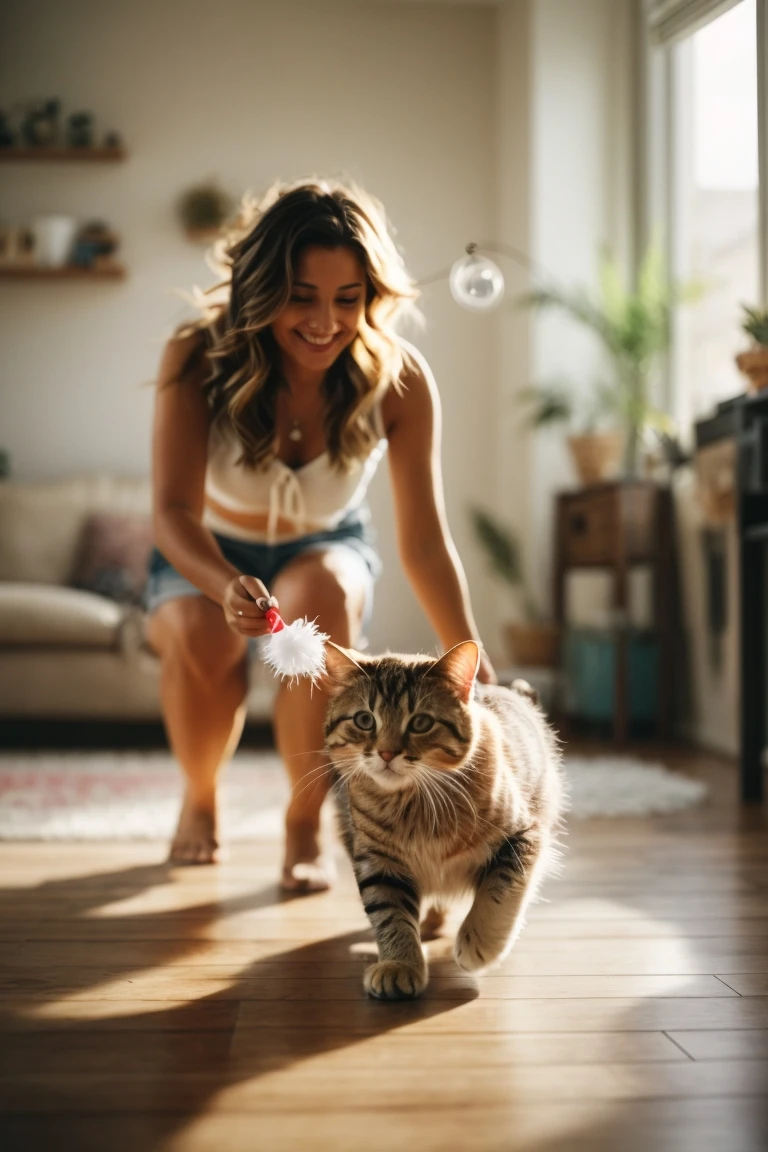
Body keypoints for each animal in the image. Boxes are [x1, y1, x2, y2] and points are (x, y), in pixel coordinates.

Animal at [322, 640, 568, 999]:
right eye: (365, 720)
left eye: (421, 723)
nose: (386, 753)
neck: (415, 806)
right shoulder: (378, 862)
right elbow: (391, 916)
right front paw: (400, 964)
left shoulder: (523, 837)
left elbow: (498, 894)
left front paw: (479, 945)